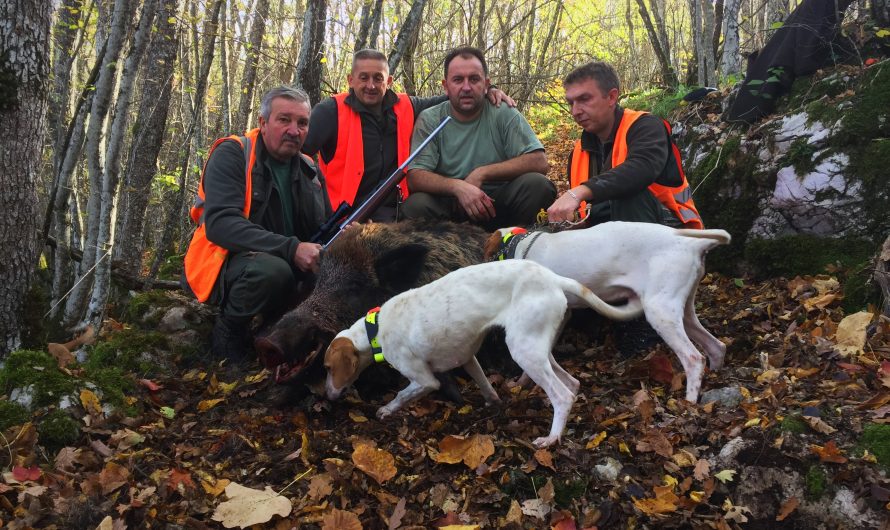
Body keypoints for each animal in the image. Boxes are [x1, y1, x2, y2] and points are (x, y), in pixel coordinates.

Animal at [322, 258, 640, 446]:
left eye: (327, 368)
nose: (327, 395)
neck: (375, 328)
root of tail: (553, 278)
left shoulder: (424, 380)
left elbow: (402, 395)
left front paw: (386, 410)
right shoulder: (468, 359)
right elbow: (486, 386)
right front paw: (493, 404)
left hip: (523, 350)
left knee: (561, 395)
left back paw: (551, 438)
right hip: (537, 347)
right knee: (572, 383)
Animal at [486, 220, 728, 400]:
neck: (522, 244)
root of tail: (690, 243)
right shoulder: (562, 316)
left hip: (660, 312)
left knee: (694, 358)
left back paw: (689, 403)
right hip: (682, 311)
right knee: (716, 347)